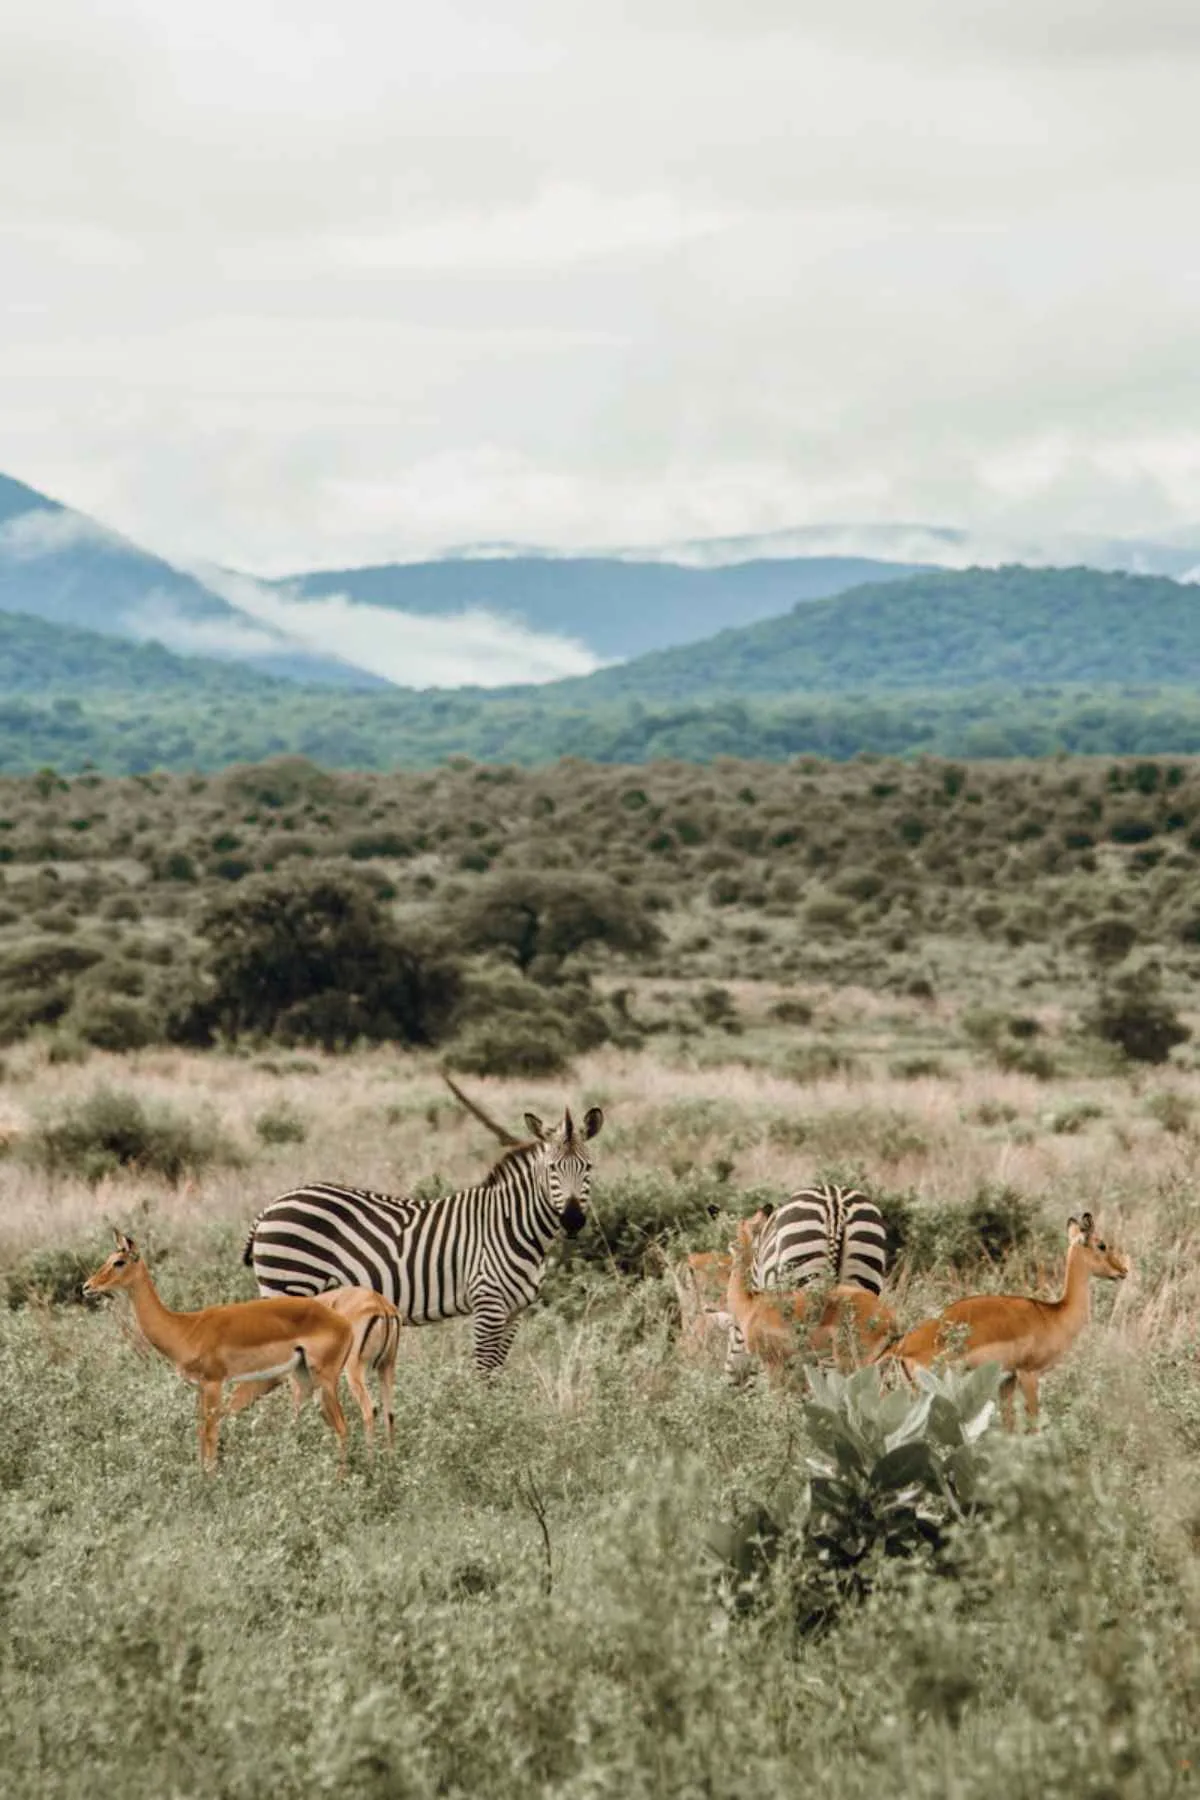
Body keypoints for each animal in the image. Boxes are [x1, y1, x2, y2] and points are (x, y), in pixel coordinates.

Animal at [241, 1106, 603, 1373]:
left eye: (588, 1167)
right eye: (552, 1168)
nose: (573, 1220)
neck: (512, 1225)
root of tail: (271, 1206)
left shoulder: (514, 1312)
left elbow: (498, 1371)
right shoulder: (488, 1303)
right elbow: (484, 1372)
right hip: (288, 1285)